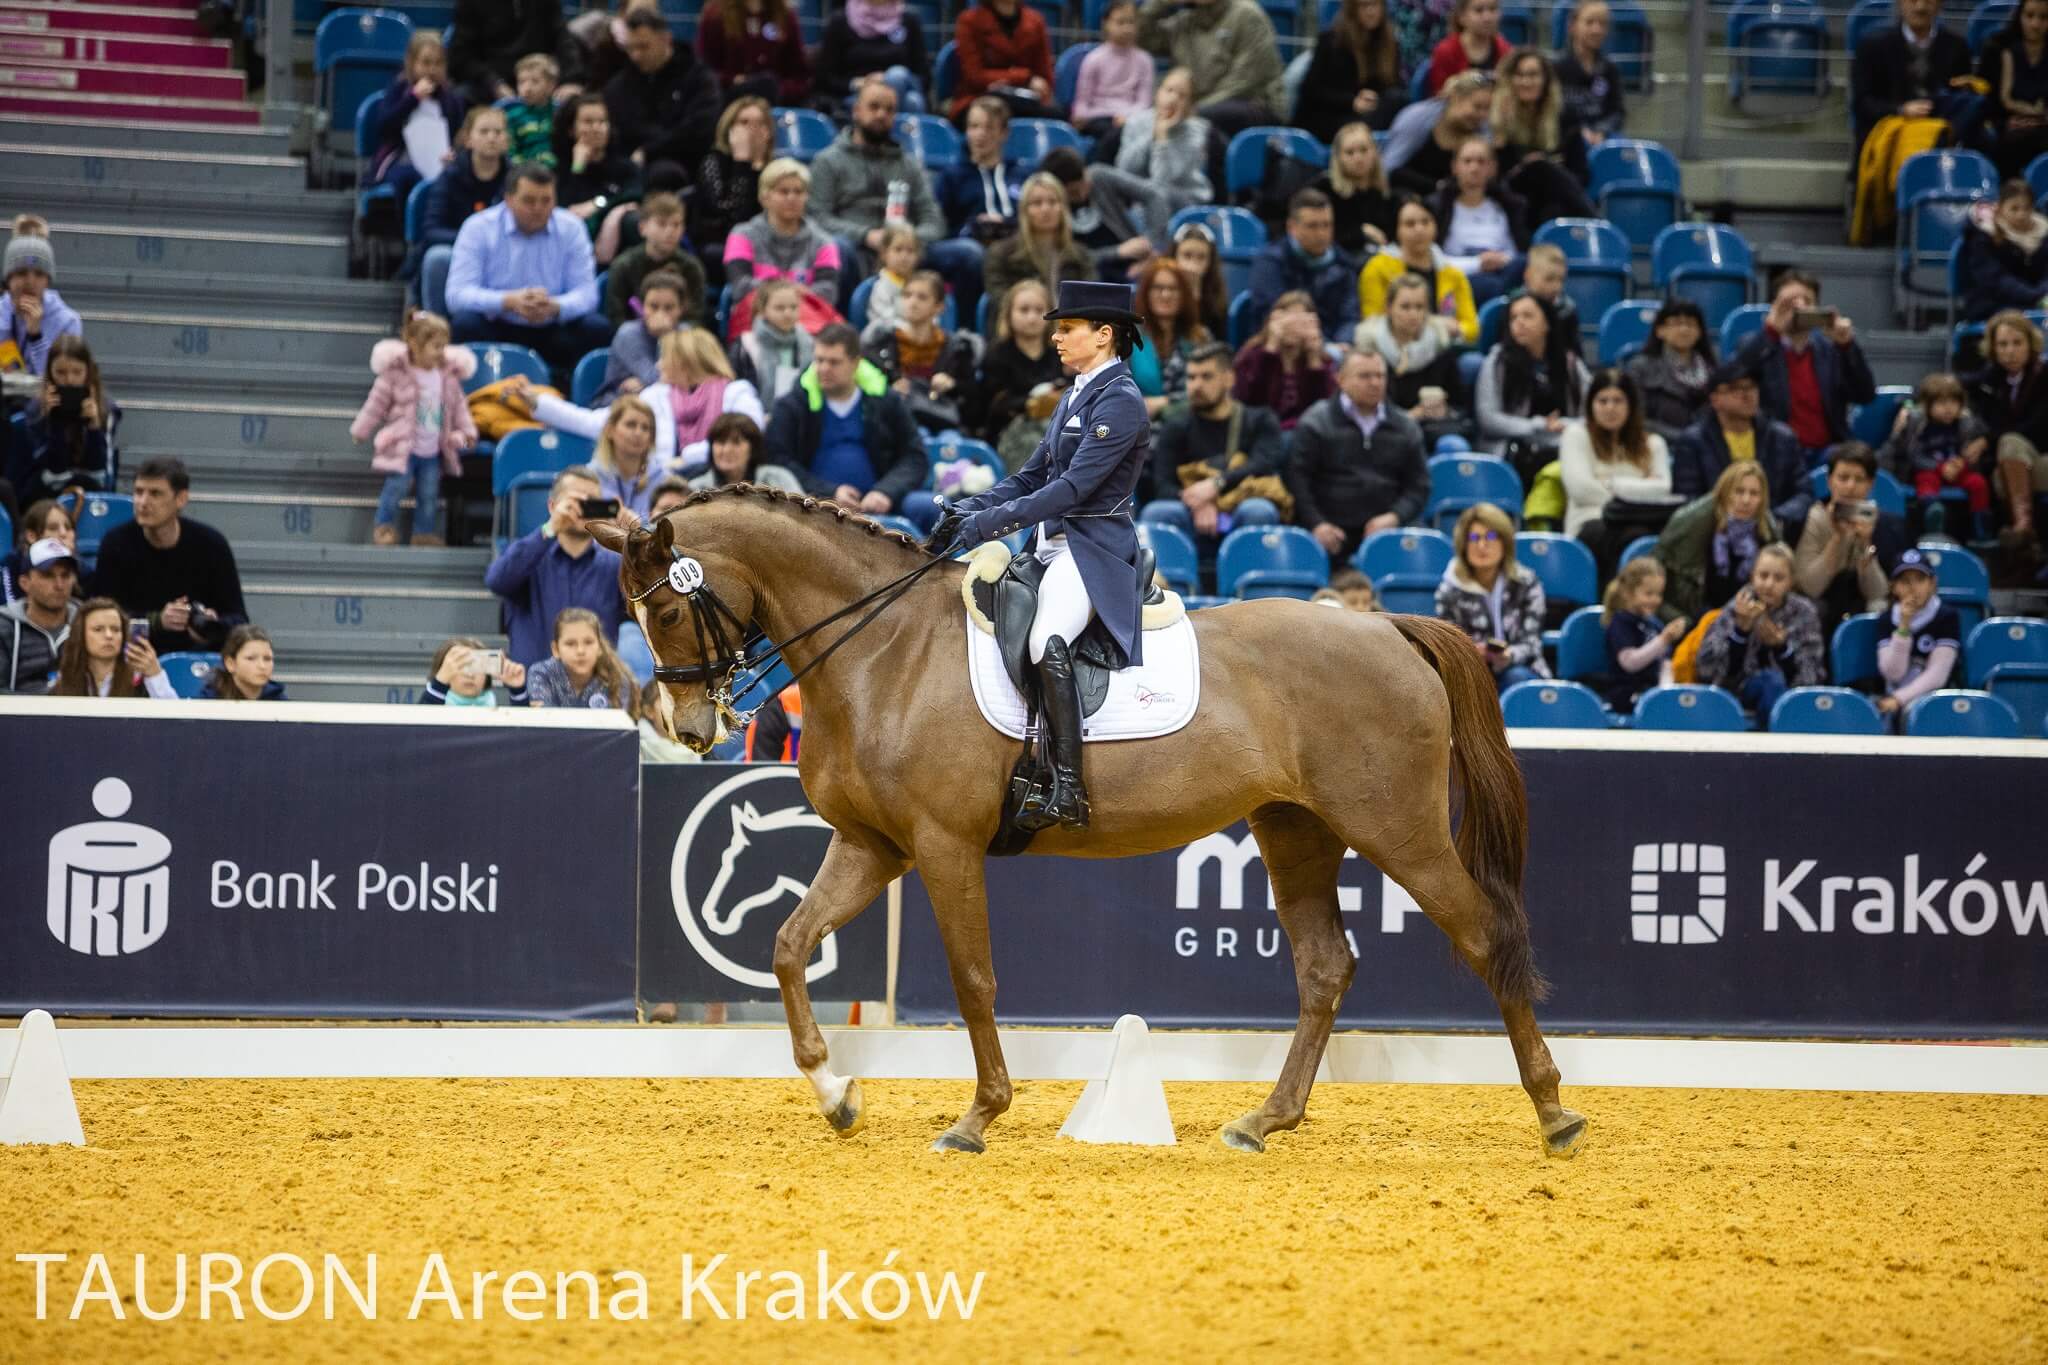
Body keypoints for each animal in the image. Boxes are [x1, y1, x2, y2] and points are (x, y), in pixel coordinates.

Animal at [592, 485, 1588, 1158]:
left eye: (669, 606)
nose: (692, 729)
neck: (884, 650)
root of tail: (1389, 627)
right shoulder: (873, 845)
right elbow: (792, 945)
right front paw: (837, 1092)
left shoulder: (943, 846)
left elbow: (974, 980)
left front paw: (977, 1116)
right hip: (1296, 830)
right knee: (1324, 967)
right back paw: (1265, 1120)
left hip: (1398, 830)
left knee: (1484, 934)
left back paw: (1555, 1111)